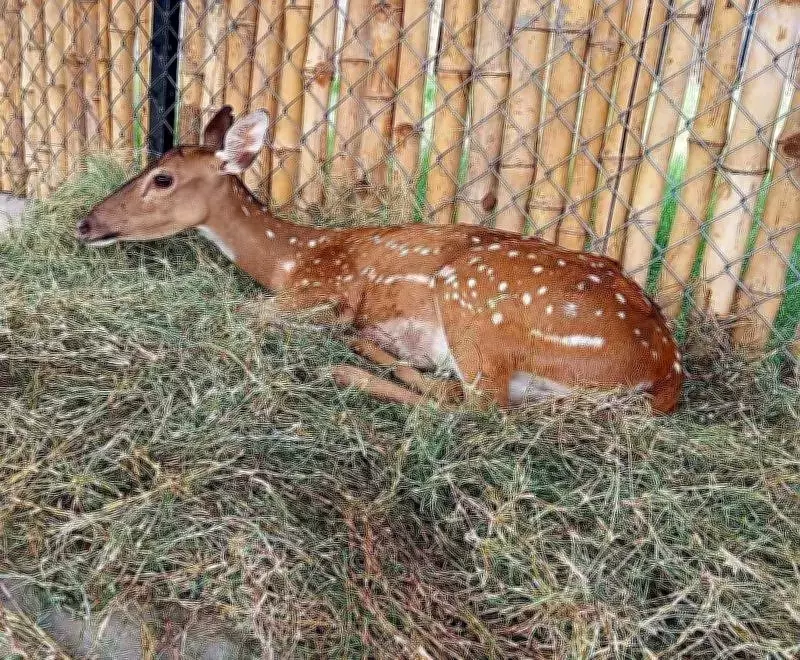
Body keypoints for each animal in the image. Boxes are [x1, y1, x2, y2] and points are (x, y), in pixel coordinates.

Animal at [76, 107, 684, 413]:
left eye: (162, 178)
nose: (85, 223)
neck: (292, 258)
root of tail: (663, 368)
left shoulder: (322, 293)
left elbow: (240, 315)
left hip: (476, 300)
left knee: (481, 406)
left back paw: (350, 366)